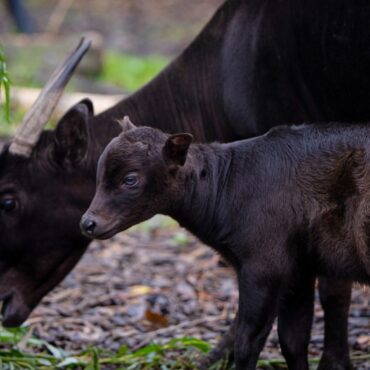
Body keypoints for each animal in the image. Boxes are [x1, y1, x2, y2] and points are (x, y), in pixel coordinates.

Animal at [82, 123, 370, 370]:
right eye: (99, 175)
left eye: (130, 179)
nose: (88, 223)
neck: (226, 187)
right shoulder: (299, 270)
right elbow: (293, 340)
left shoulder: (264, 268)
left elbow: (246, 343)